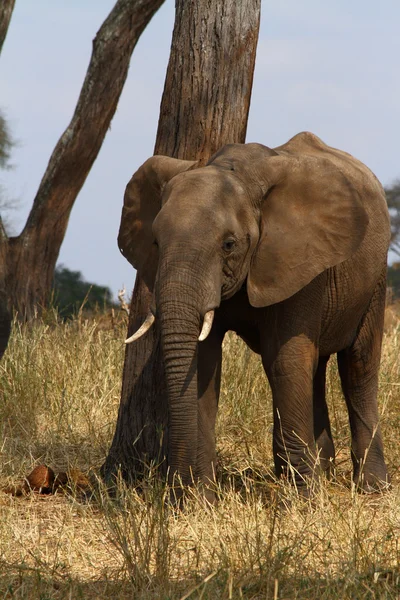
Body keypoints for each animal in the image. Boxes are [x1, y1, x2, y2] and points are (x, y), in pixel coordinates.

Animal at [119, 132, 390, 502]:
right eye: (156, 243)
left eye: (229, 244)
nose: (175, 491)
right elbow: (204, 362)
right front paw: (202, 501)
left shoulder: (300, 258)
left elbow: (285, 358)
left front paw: (301, 502)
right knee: (314, 366)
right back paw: (323, 472)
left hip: (375, 279)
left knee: (357, 365)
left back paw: (372, 488)